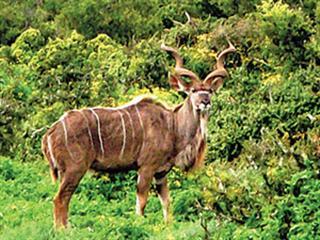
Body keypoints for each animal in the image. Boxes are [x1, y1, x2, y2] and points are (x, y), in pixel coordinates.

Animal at [41, 40, 235, 228]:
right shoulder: (146, 167)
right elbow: (141, 203)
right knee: (60, 199)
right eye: (193, 90)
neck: (172, 125)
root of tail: (50, 132)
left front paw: (168, 228)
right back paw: (62, 231)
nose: (205, 102)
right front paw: (139, 226)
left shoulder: (161, 173)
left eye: (210, 91)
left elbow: (167, 203)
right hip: (75, 169)